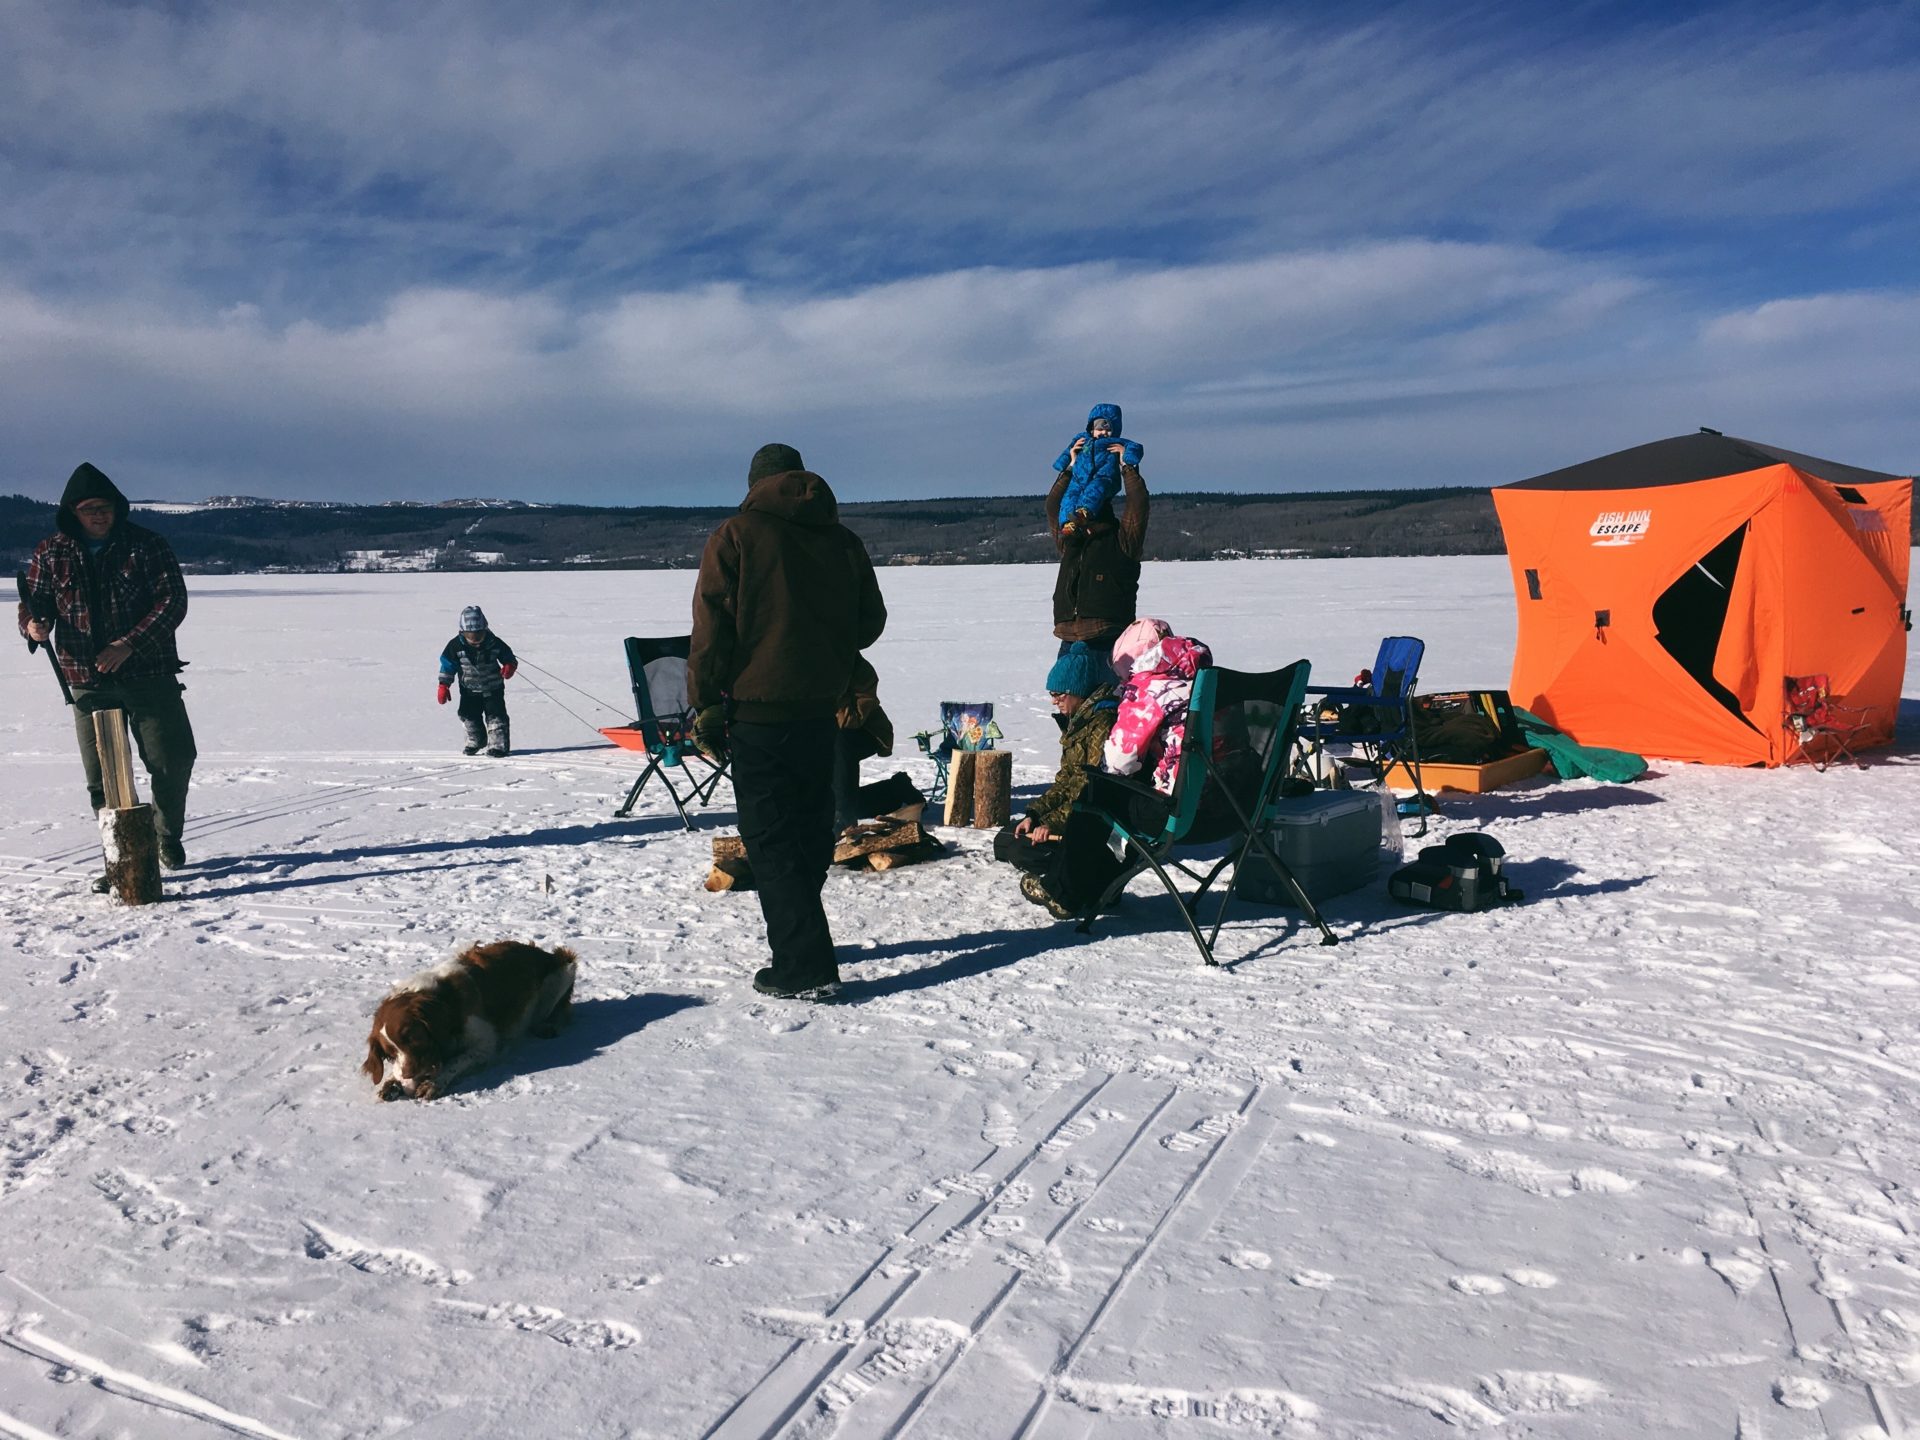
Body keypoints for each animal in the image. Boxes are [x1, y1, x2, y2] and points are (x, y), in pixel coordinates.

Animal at [362, 948, 576, 1105]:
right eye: (389, 1054)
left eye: (413, 1037)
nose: (409, 1075)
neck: (445, 999)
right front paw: (391, 1082)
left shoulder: (486, 1045)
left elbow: (456, 1061)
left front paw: (433, 1083)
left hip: (565, 968)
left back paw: (547, 1026)